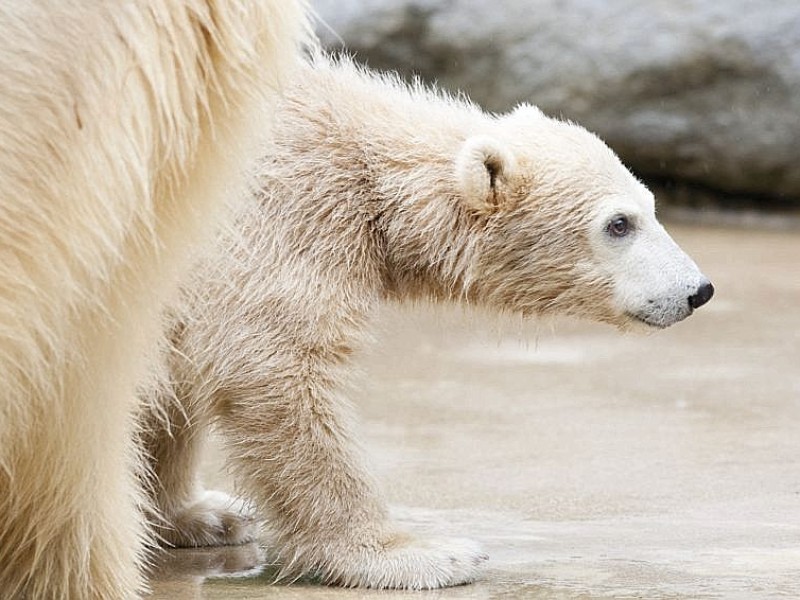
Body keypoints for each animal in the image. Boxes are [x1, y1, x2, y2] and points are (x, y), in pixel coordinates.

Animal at [147, 56, 716, 592]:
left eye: (652, 206)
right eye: (619, 224)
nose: (697, 290)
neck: (370, 172)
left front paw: (201, 515)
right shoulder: (276, 223)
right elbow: (276, 369)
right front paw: (415, 555)